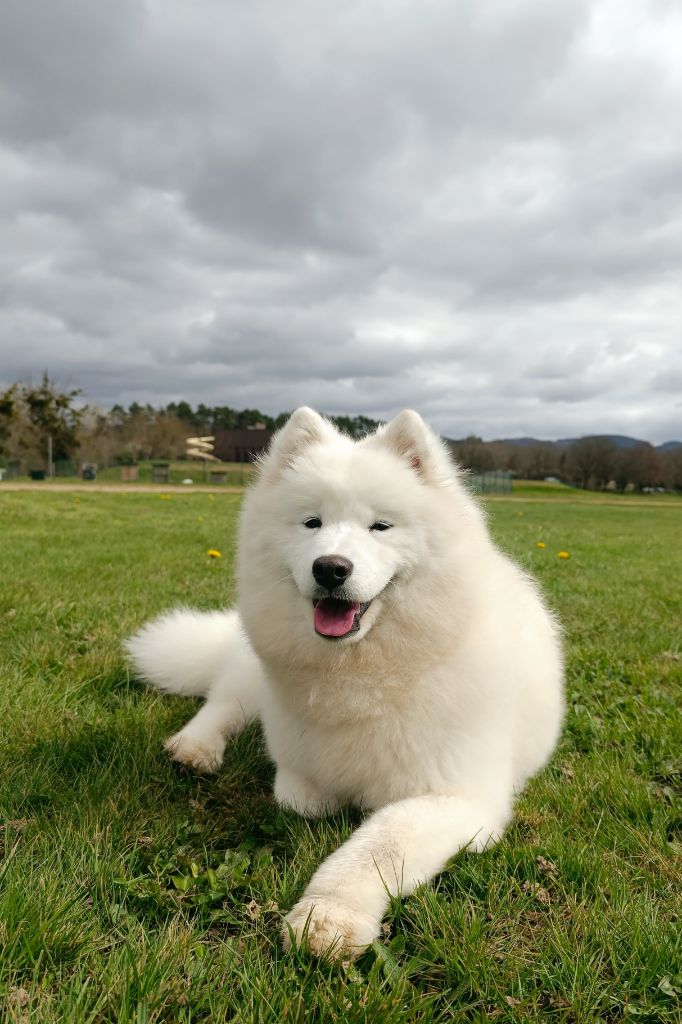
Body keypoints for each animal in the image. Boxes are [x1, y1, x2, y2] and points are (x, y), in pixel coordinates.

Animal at [124, 407, 561, 958]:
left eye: (380, 526)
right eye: (312, 523)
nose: (330, 568)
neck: (362, 673)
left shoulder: (460, 798)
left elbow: (380, 842)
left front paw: (328, 914)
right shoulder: (300, 775)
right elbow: (303, 798)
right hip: (250, 669)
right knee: (222, 702)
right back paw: (195, 748)